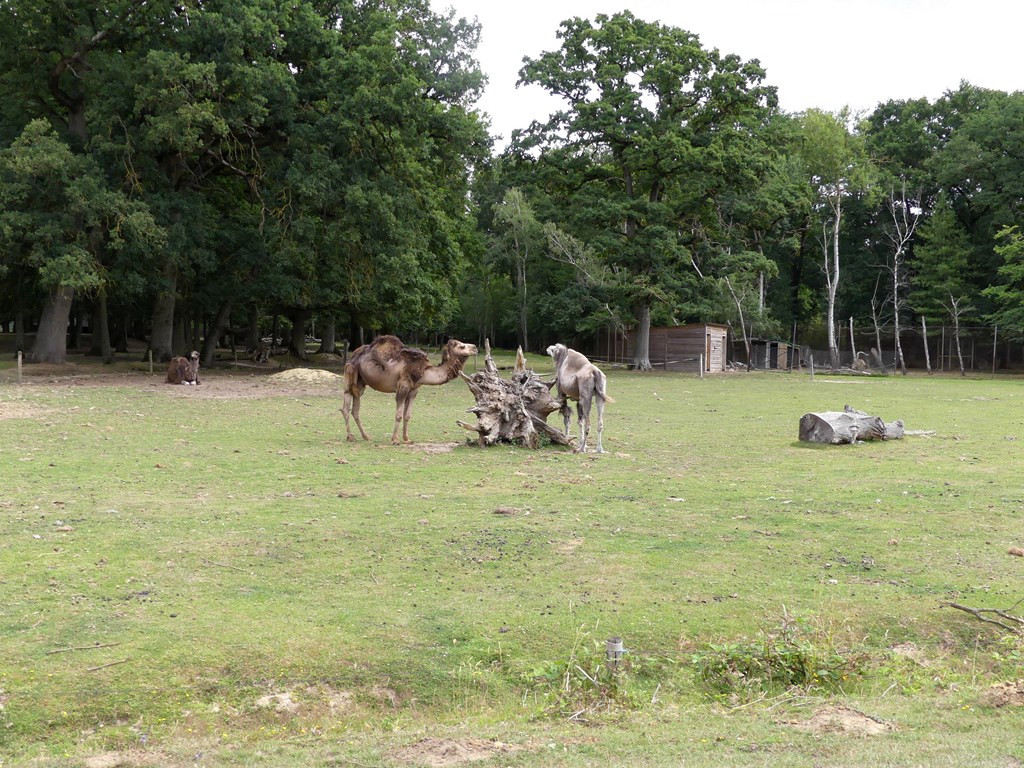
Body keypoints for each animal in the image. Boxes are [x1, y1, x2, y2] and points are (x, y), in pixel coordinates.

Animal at [342, 335, 478, 444]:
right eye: (462, 346)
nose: (475, 348)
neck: (424, 371)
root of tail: (353, 355)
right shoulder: (403, 386)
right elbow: (398, 415)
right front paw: (395, 440)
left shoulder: (414, 389)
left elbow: (407, 415)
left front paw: (407, 439)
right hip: (350, 374)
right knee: (345, 406)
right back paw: (350, 437)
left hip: (361, 383)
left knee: (355, 410)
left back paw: (366, 437)